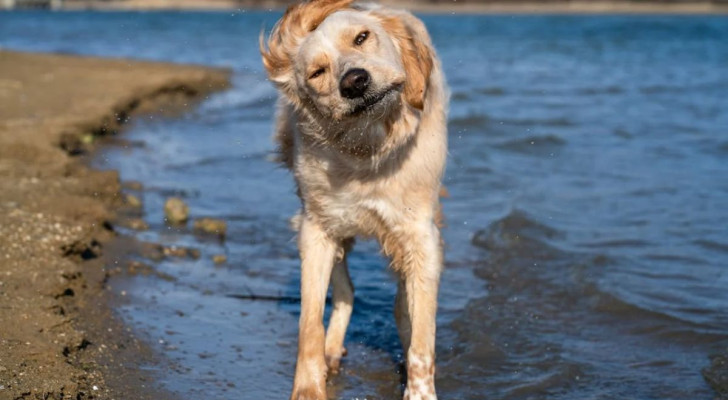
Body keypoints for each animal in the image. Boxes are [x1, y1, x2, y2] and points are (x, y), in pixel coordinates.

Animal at [258, 1, 446, 398]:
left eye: (362, 37)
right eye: (317, 72)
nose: (354, 82)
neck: (367, 149)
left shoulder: (421, 237)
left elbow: (422, 338)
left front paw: (420, 390)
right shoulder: (316, 230)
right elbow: (309, 323)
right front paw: (308, 387)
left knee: (401, 304)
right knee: (346, 290)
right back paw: (332, 350)